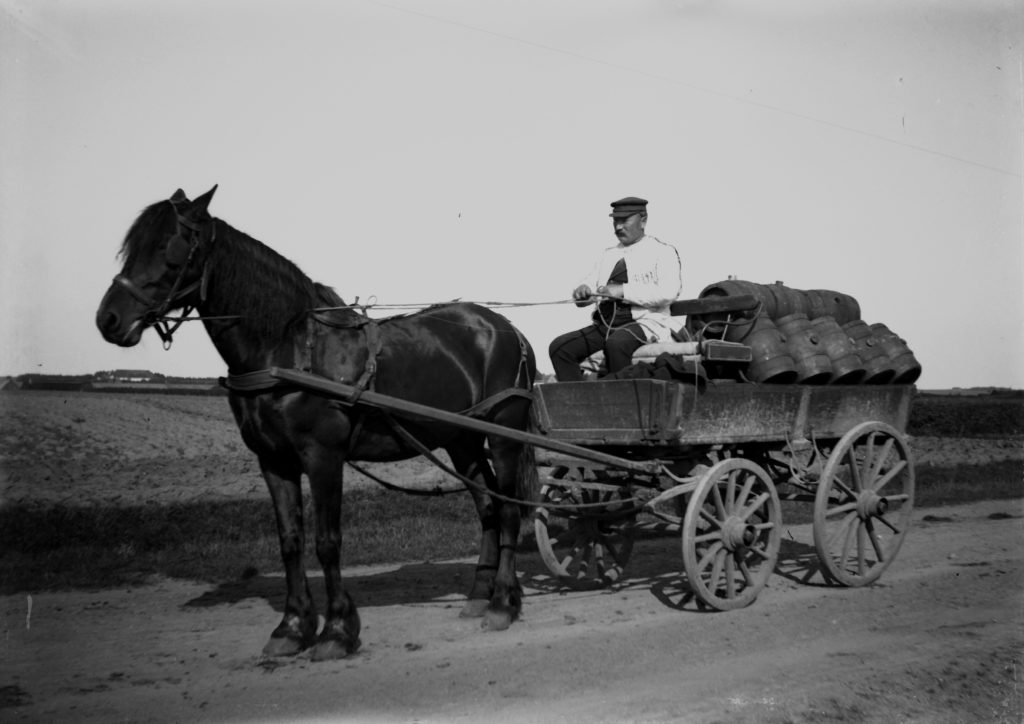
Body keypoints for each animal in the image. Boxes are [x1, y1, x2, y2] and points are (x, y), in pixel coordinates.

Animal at [95, 187, 540, 663]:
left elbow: (327, 541)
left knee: (508, 510)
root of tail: (507, 327)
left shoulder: (323, 456)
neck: (287, 350)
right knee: (487, 507)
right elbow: (290, 541)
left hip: (503, 436)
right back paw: (480, 595)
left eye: (171, 247)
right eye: (130, 247)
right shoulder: (273, 460)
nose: (108, 320)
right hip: (462, 441)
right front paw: (291, 627)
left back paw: (502, 601)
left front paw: (338, 630)